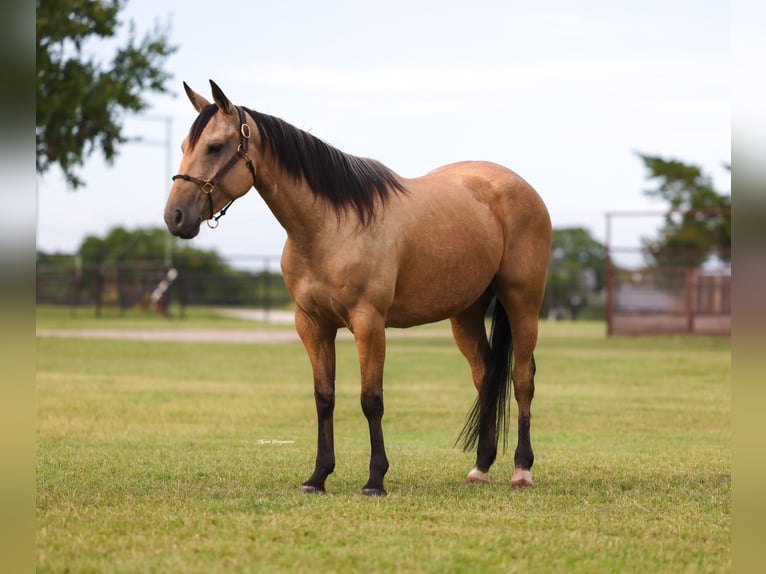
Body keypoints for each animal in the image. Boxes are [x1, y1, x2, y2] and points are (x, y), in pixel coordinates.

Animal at [164, 80, 552, 496]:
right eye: (185, 146)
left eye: (215, 146)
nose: (175, 216)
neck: (332, 226)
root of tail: (519, 187)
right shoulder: (312, 325)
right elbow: (324, 398)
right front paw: (318, 477)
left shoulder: (369, 323)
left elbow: (371, 400)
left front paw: (375, 480)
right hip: (466, 312)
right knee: (485, 377)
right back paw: (480, 467)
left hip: (522, 303)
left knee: (523, 379)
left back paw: (522, 470)